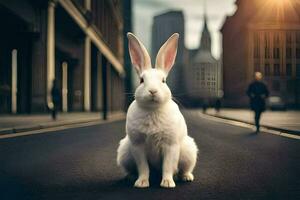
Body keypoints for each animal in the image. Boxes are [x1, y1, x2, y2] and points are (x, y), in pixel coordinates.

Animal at [116, 32, 198, 188]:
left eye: (163, 81)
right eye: (141, 80)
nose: (153, 91)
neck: (152, 110)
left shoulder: (170, 146)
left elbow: (167, 166)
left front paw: (167, 183)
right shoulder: (137, 146)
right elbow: (143, 167)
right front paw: (141, 183)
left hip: (189, 152)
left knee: (184, 169)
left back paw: (186, 177)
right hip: (125, 153)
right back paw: (130, 177)